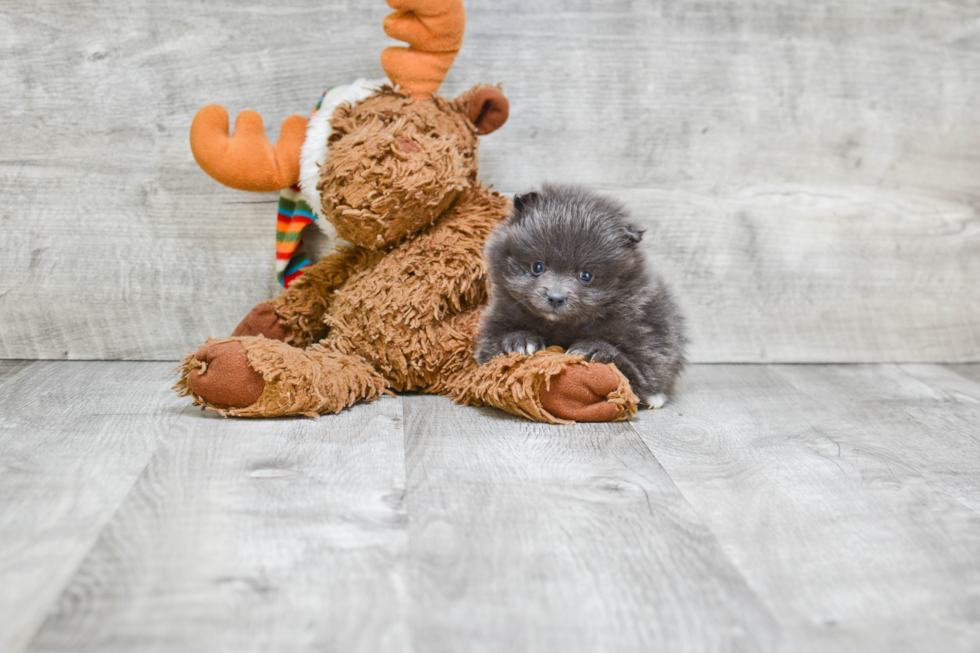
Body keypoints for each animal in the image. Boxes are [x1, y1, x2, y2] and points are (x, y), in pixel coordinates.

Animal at [472, 183, 680, 404]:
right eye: (538, 266)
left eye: (585, 275)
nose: (555, 297)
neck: (562, 325)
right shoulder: (499, 316)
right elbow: (492, 345)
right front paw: (519, 340)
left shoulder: (645, 339)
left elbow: (635, 373)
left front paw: (595, 349)